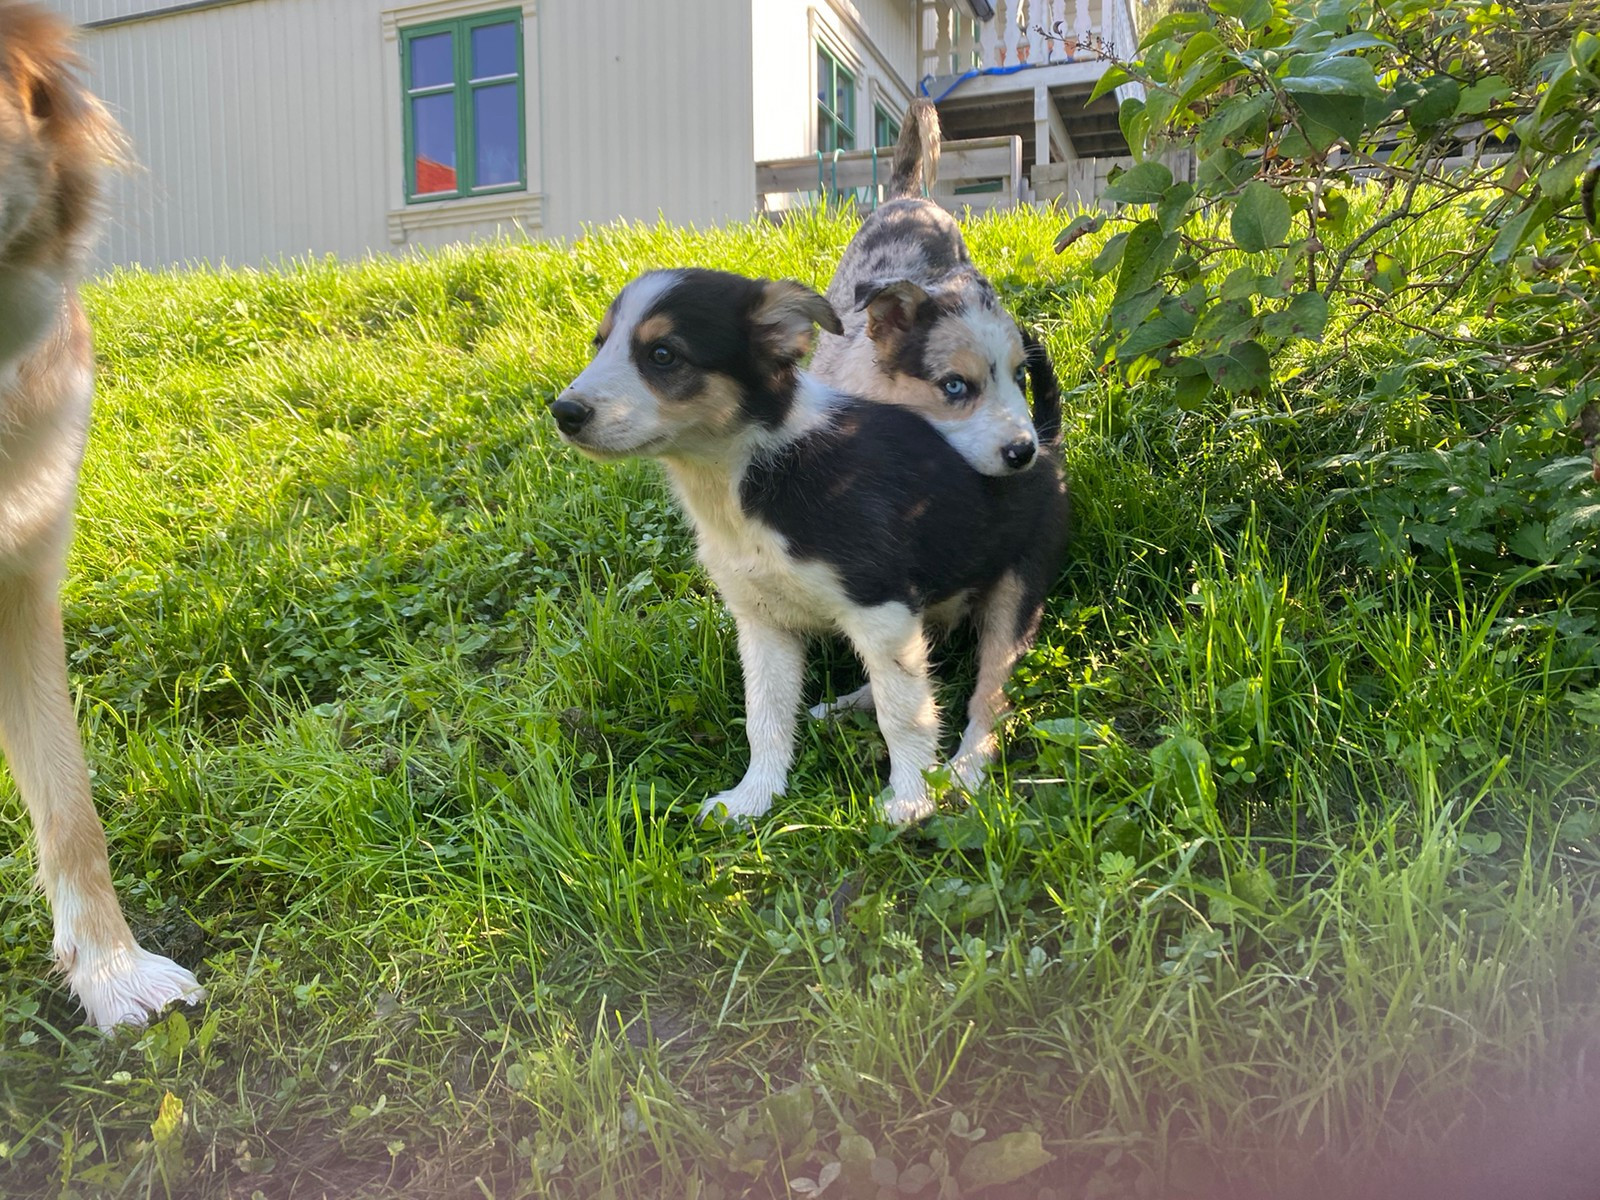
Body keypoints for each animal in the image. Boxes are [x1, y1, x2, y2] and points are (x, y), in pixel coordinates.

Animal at [550, 267, 1062, 825]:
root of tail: (1044, 441)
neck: (742, 478)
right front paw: (752, 798)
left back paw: (964, 770)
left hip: (1015, 592)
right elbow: (765, 716)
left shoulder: (880, 603)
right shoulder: (763, 621)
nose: (563, 412)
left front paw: (910, 799)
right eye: (600, 344)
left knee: (990, 698)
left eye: (663, 354)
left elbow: (903, 715)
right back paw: (841, 707)